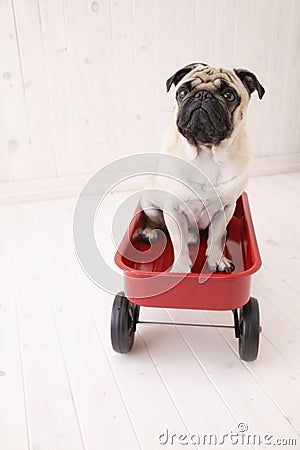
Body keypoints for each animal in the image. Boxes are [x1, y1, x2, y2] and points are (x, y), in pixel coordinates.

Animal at [137, 63, 264, 274]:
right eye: (182, 92)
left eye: (229, 95)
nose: (203, 95)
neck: (206, 152)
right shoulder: (173, 209)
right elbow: (179, 242)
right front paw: (181, 268)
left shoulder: (225, 209)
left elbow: (215, 238)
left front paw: (217, 259)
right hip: (149, 203)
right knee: (155, 221)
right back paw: (149, 232)